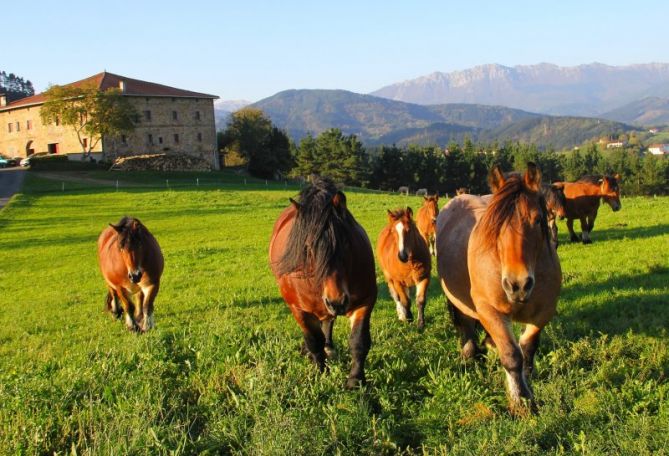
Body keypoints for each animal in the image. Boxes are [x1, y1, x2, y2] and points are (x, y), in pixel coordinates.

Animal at [270, 176, 376, 386]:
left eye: (346, 242)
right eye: (308, 248)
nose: (337, 301)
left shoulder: (365, 302)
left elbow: (359, 341)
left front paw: (355, 380)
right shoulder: (299, 309)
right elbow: (313, 340)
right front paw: (320, 371)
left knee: (327, 322)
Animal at [436, 164, 560, 414]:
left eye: (538, 220)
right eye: (496, 225)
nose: (518, 284)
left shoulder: (543, 313)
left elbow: (527, 351)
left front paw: (526, 385)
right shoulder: (489, 310)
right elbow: (512, 356)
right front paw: (520, 401)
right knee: (465, 324)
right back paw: (469, 354)